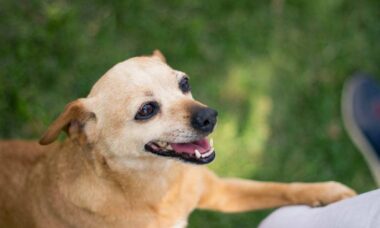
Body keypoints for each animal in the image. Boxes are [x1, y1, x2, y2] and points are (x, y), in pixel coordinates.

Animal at [0, 51, 356, 228]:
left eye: (184, 83)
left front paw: (326, 192)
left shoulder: (219, 191)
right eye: (146, 110)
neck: (157, 185)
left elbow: (276, 188)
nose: (210, 116)